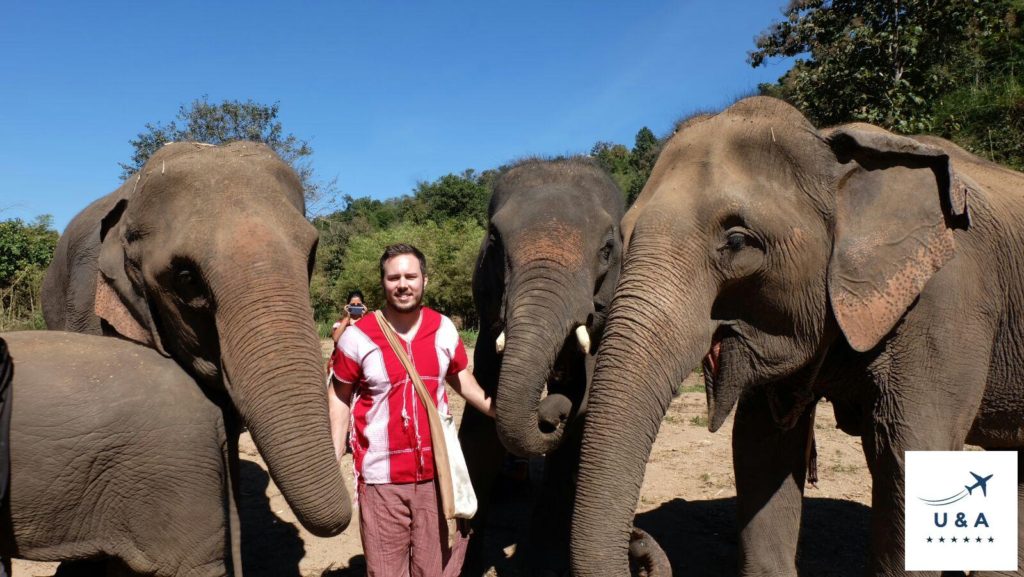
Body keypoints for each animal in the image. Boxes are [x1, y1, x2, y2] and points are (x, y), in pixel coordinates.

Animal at [577, 95, 1024, 577]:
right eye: (622, 238)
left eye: (737, 241)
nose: (639, 542)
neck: (832, 151)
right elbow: (761, 447)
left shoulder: (947, 300)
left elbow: (908, 448)